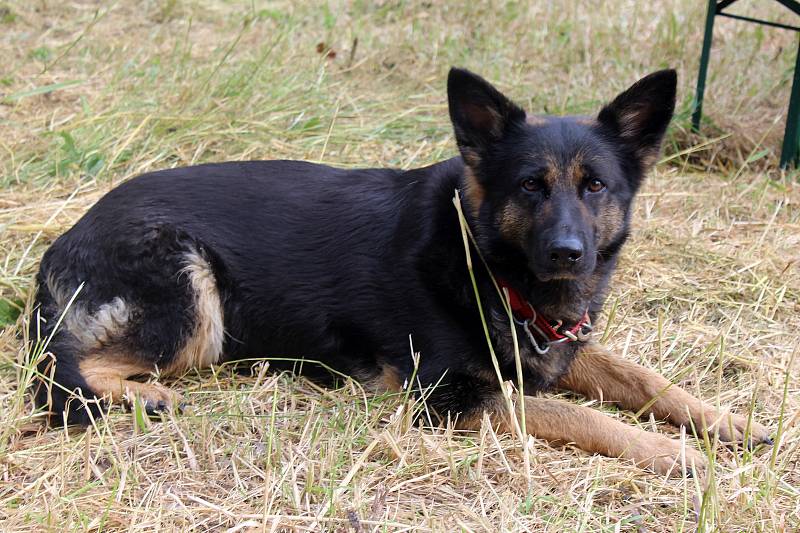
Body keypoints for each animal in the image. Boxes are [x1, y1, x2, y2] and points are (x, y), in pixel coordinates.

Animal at [29, 67, 768, 474]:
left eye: (596, 186)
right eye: (531, 185)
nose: (567, 253)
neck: (478, 258)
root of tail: (64, 241)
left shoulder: (552, 347)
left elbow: (643, 378)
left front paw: (725, 421)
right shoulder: (449, 397)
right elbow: (579, 415)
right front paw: (675, 454)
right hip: (193, 297)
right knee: (75, 369)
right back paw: (148, 397)